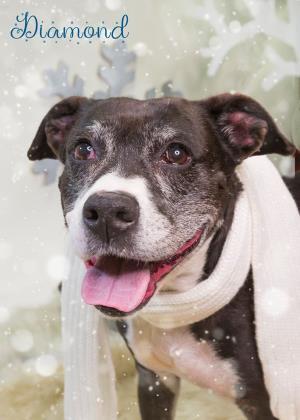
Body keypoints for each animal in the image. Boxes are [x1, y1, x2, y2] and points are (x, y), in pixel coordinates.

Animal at [28, 95, 300, 420]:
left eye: (177, 153)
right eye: (83, 149)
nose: (107, 211)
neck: (177, 302)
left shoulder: (260, 402)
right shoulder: (154, 381)